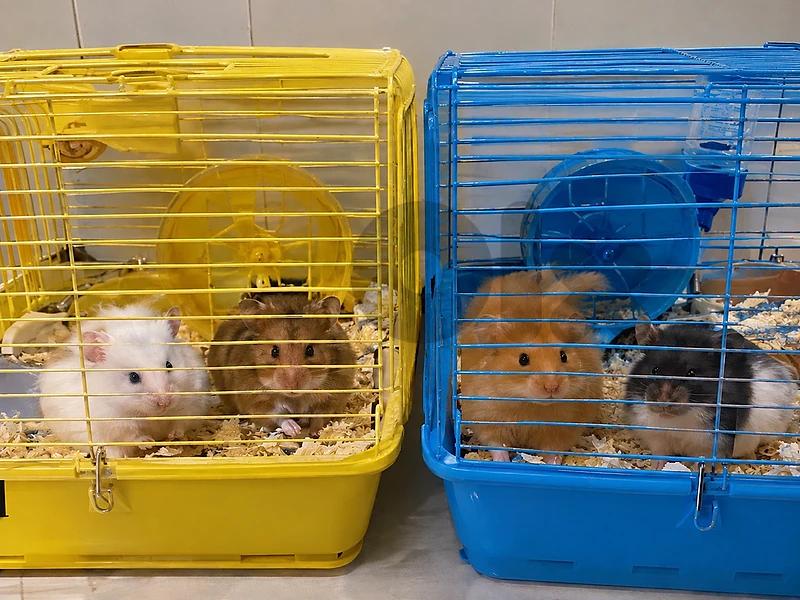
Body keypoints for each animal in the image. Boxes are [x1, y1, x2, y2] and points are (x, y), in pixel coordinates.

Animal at [37, 303, 216, 458]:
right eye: (133, 377)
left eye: (169, 365)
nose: (164, 402)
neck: (150, 415)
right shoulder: (116, 424)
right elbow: (132, 436)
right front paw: (149, 442)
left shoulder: (192, 404)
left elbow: (181, 424)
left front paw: (173, 436)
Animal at [207, 293, 356, 437]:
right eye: (274, 351)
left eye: (310, 350)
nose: (292, 386)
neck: (295, 398)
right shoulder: (256, 402)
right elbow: (278, 415)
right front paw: (295, 430)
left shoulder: (332, 397)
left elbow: (319, 416)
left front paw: (316, 432)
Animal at [459, 270, 607, 464]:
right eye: (523, 359)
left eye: (563, 356)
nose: (552, 387)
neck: (528, 405)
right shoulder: (488, 419)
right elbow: (498, 446)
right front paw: (503, 462)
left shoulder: (562, 430)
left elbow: (553, 451)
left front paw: (551, 465)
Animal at [625, 318, 798, 470]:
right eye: (654, 370)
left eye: (691, 373)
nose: (663, 402)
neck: (676, 421)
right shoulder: (656, 436)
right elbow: (660, 454)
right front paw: (656, 467)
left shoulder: (711, 445)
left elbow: (703, 462)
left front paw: (694, 469)